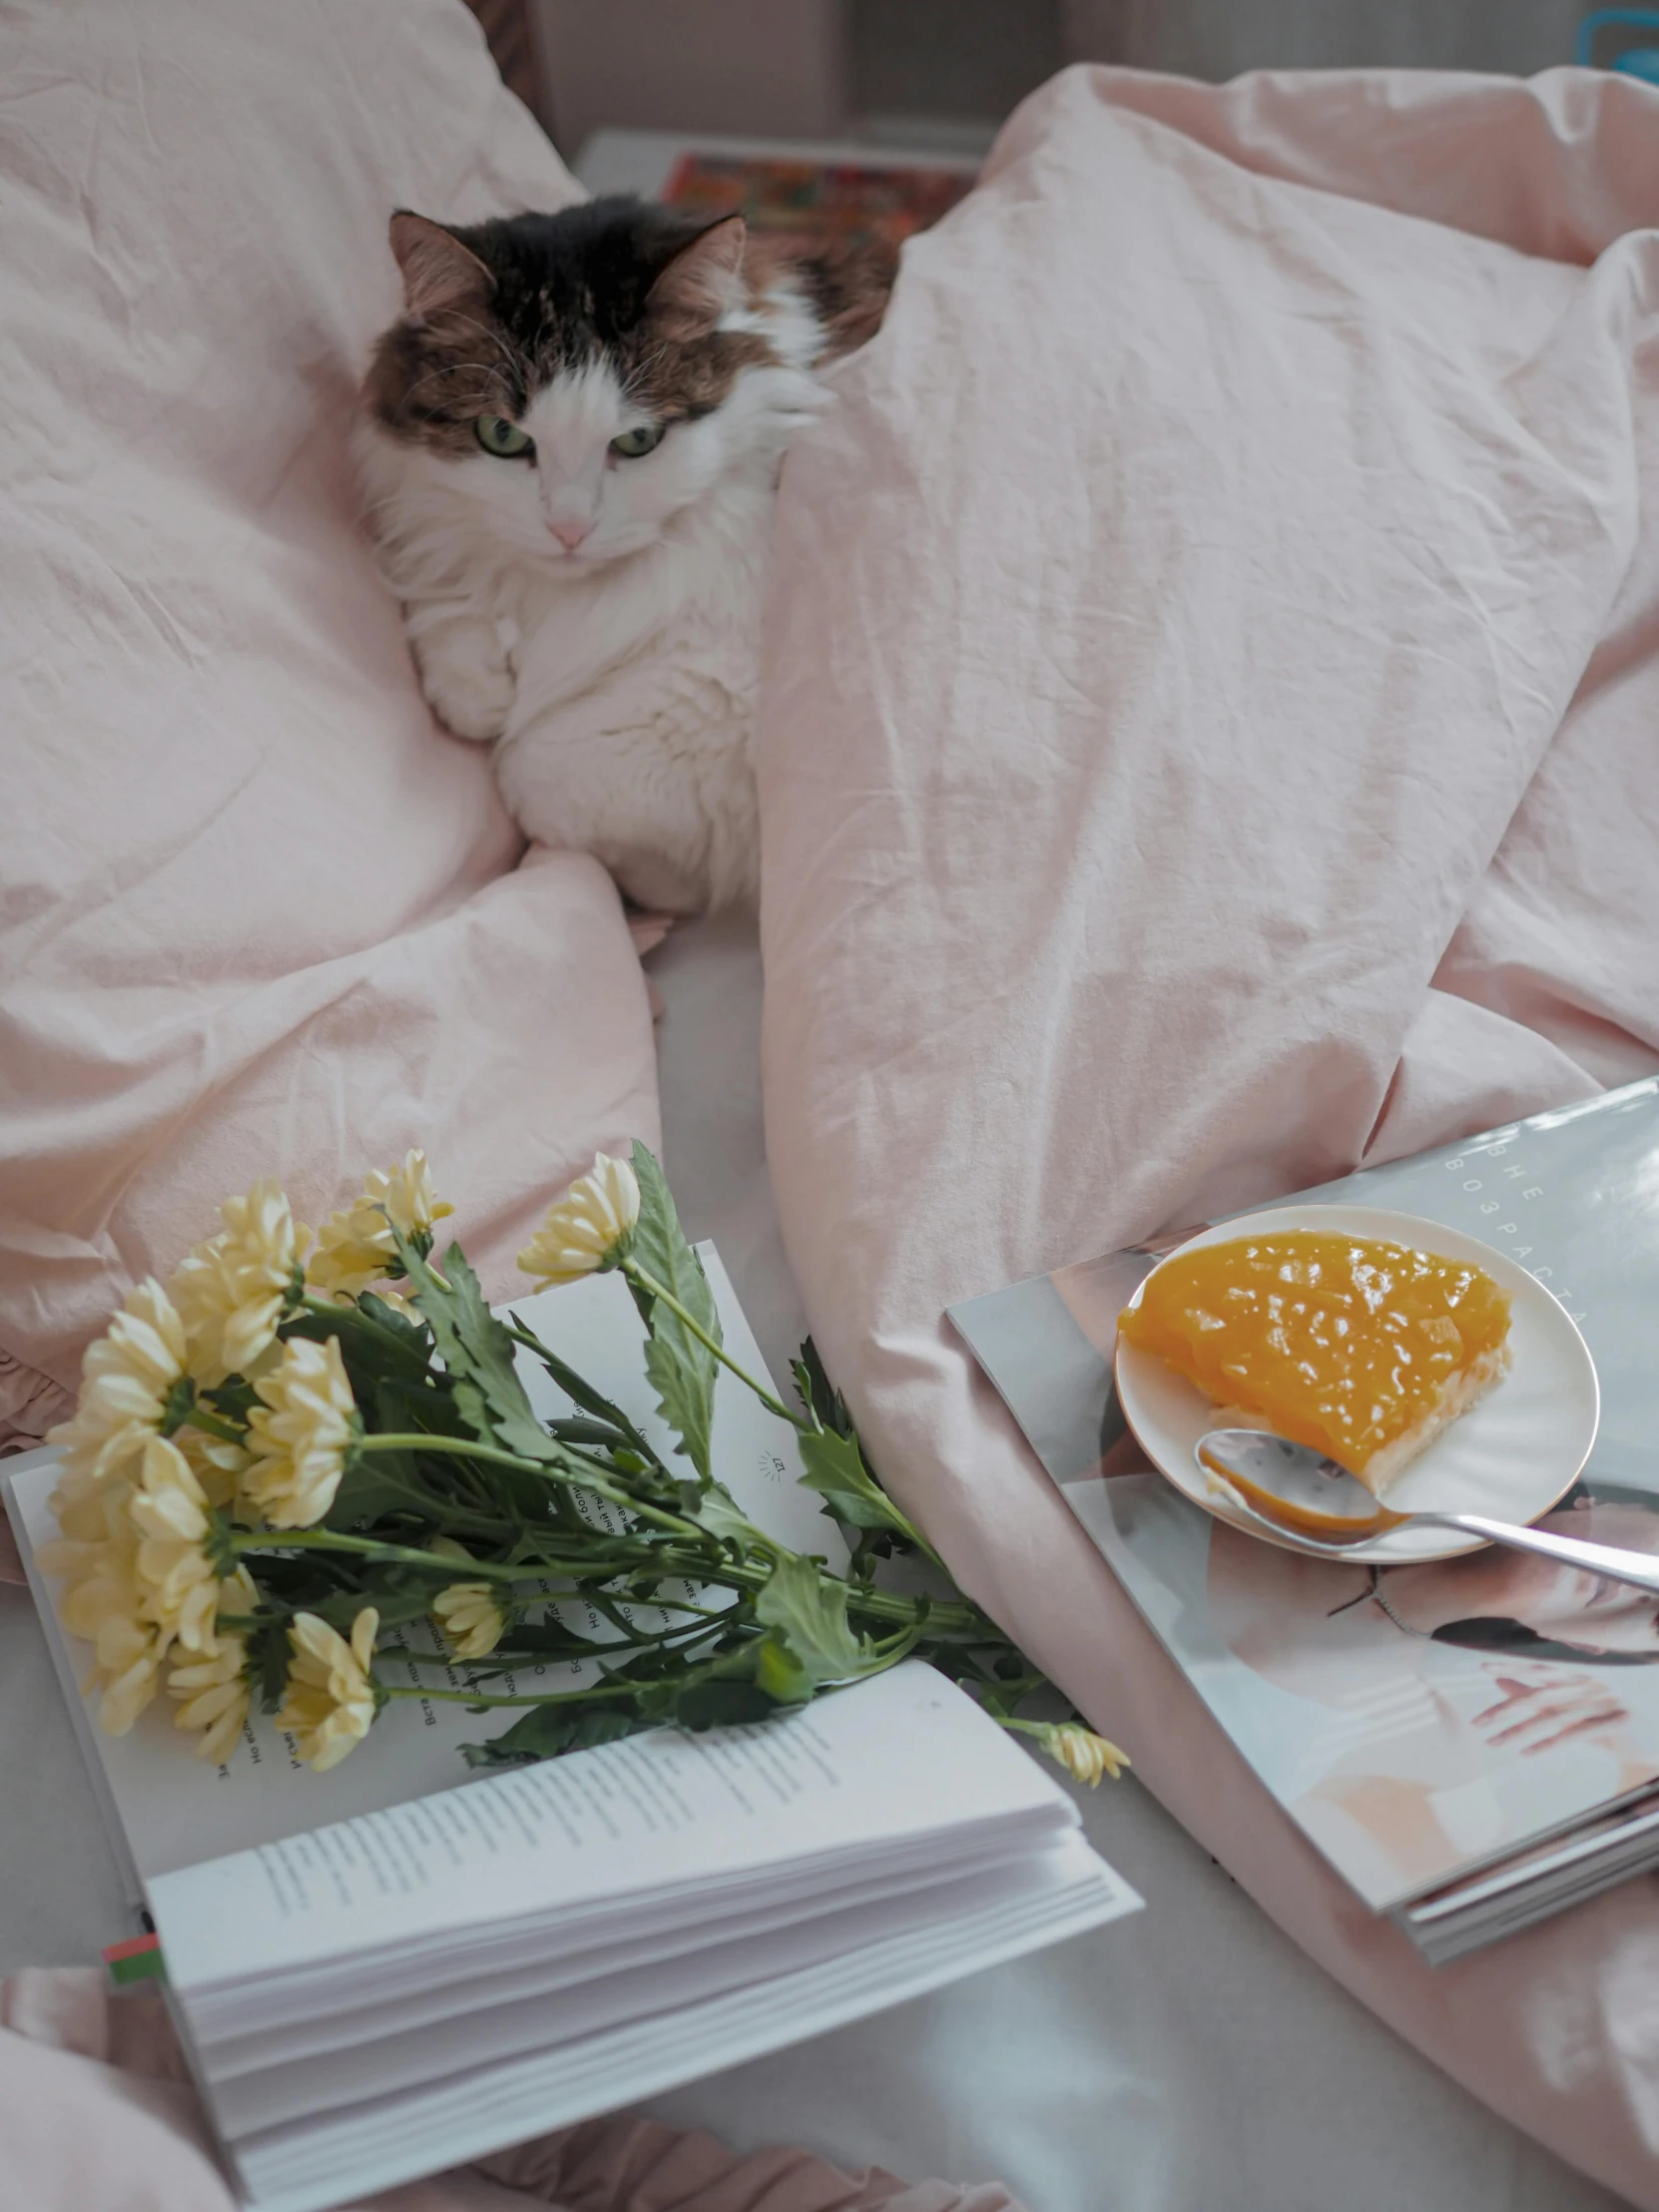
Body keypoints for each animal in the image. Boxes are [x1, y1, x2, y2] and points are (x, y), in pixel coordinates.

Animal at [353, 195, 897, 910]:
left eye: (638, 440)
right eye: (502, 435)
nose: (569, 529)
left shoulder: (725, 694)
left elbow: (530, 766)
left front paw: (662, 883)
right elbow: (451, 624)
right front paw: (477, 686)